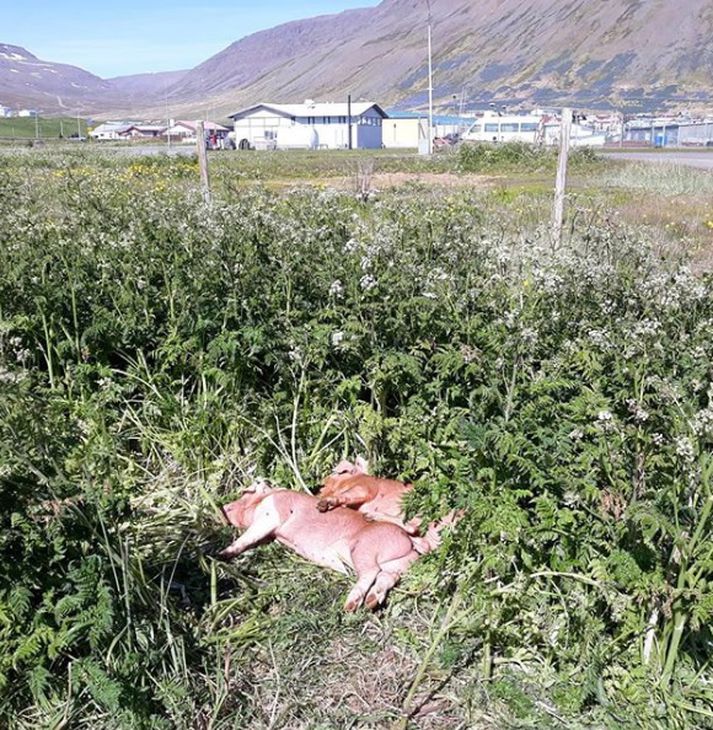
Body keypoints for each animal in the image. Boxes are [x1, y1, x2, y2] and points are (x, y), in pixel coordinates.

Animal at [218, 479, 446, 612]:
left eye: (244, 493)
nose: (223, 506)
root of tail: (409, 543)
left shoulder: (271, 515)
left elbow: (246, 538)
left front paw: (221, 554)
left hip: (363, 549)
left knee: (370, 572)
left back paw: (349, 606)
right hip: (398, 565)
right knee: (385, 578)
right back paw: (370, 603)